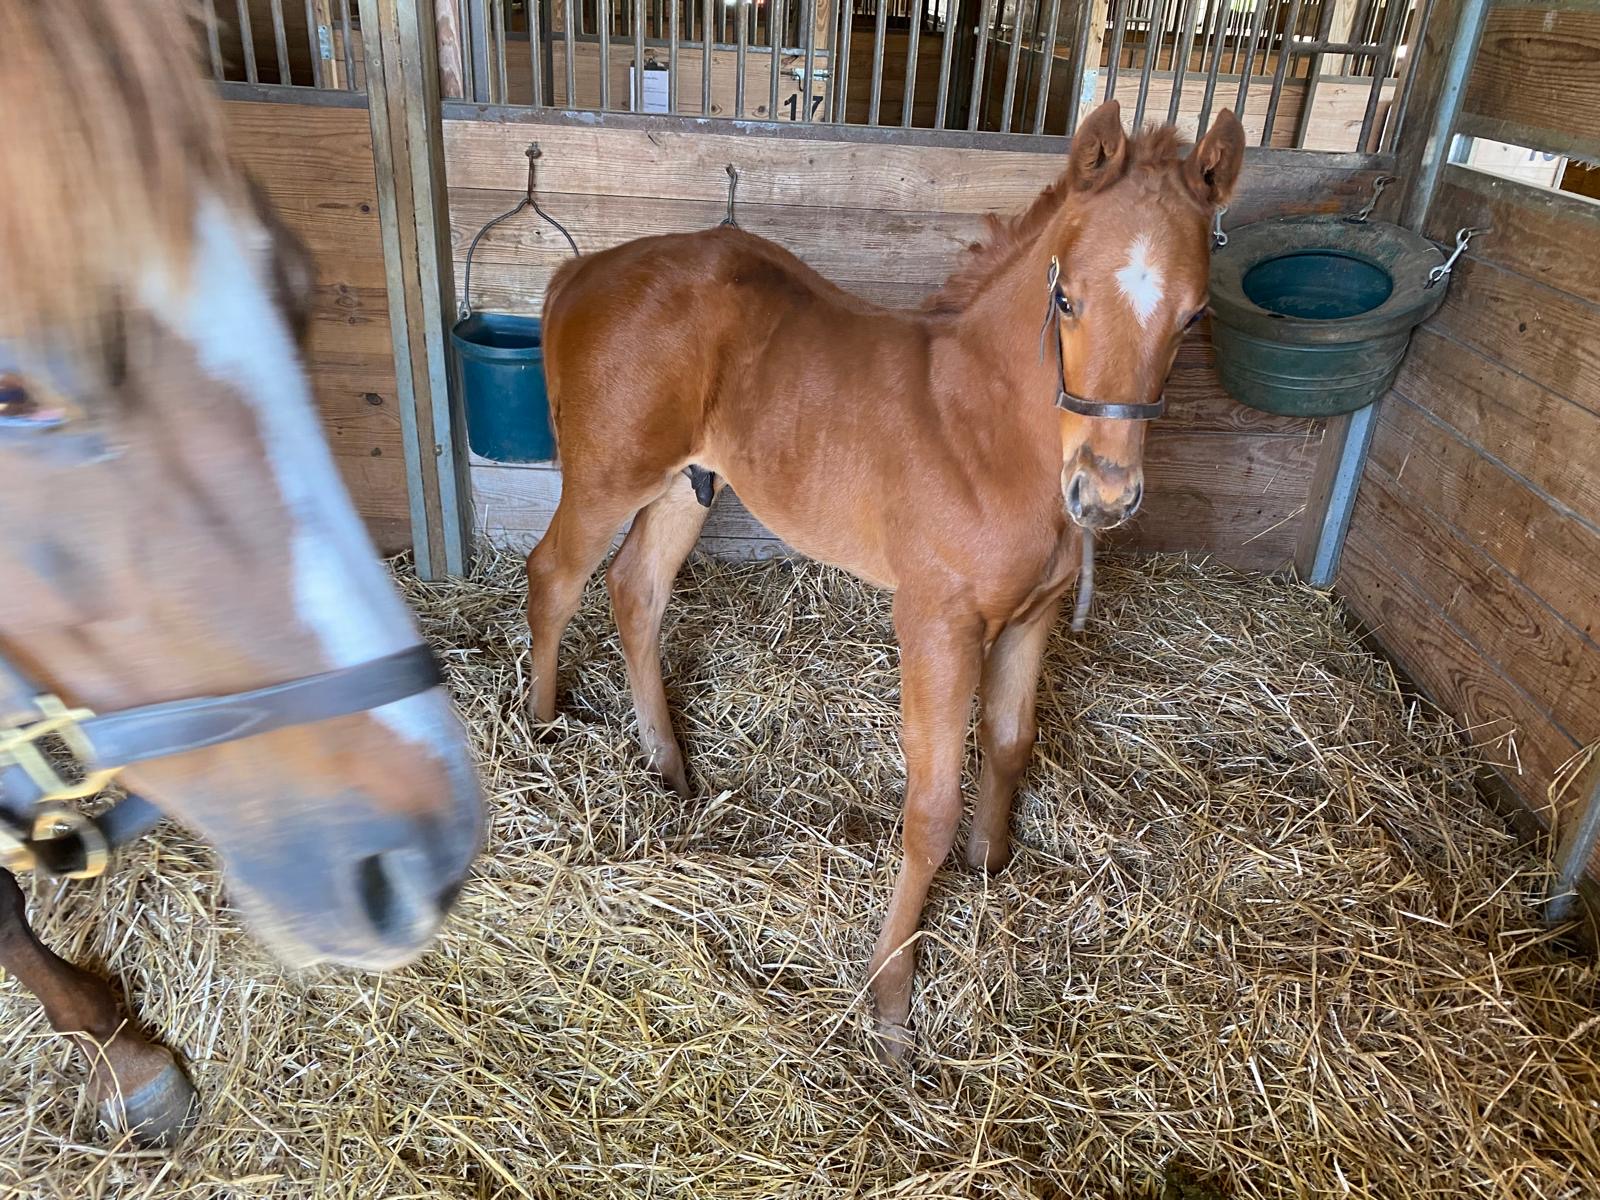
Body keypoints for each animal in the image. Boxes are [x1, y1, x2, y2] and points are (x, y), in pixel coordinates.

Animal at [524, 99, 1245, 1057]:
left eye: (1195, 315)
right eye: (1065, 297)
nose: (1104, 494)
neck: (989, 434)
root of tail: (581, 271)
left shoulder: (1034, 616)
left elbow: (1010, 741)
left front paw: (989, 866)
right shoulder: (935, 621)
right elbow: (929, 806)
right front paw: (891, 1002)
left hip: (688, 481)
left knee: (635, 590)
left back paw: (670, 768)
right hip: (611, 474)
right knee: (555, 578)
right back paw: (540, 732)